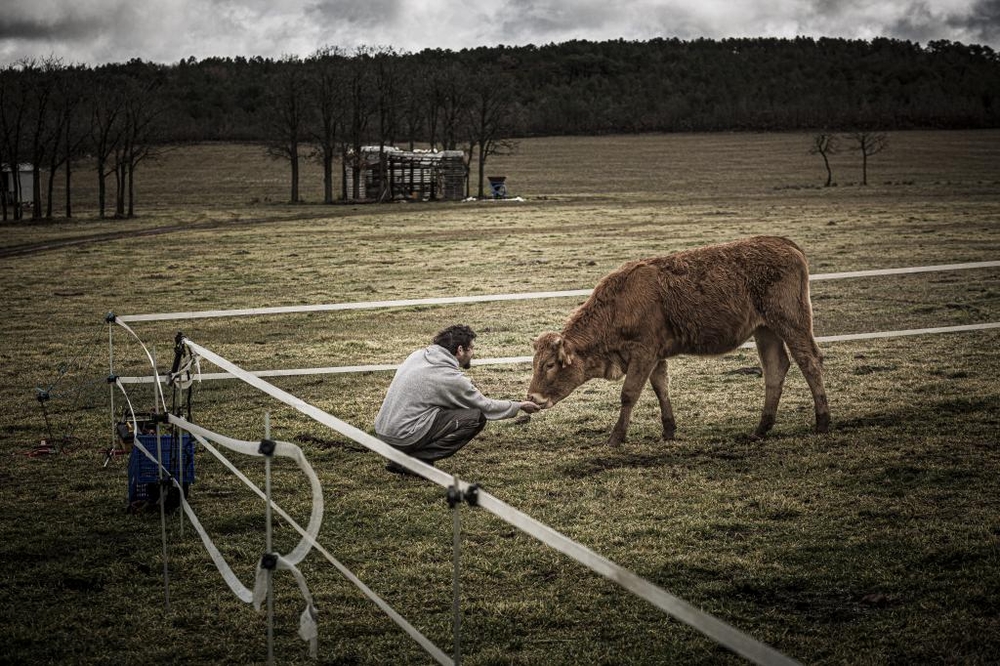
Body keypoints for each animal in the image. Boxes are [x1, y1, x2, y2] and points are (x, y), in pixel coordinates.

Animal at [528, 236, 832, 444]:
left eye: (550, 365)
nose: (532, 397)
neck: (619, 303)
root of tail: (785, 243)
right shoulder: (655, 356)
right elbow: (661, 388)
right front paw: (669, 430)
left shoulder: (643, 352)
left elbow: (629, 394)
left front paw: (616, 438)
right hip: (765, 330)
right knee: (775, 368)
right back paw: (761, 428)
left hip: (791, 322)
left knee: (809, 361)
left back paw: (822, 422)